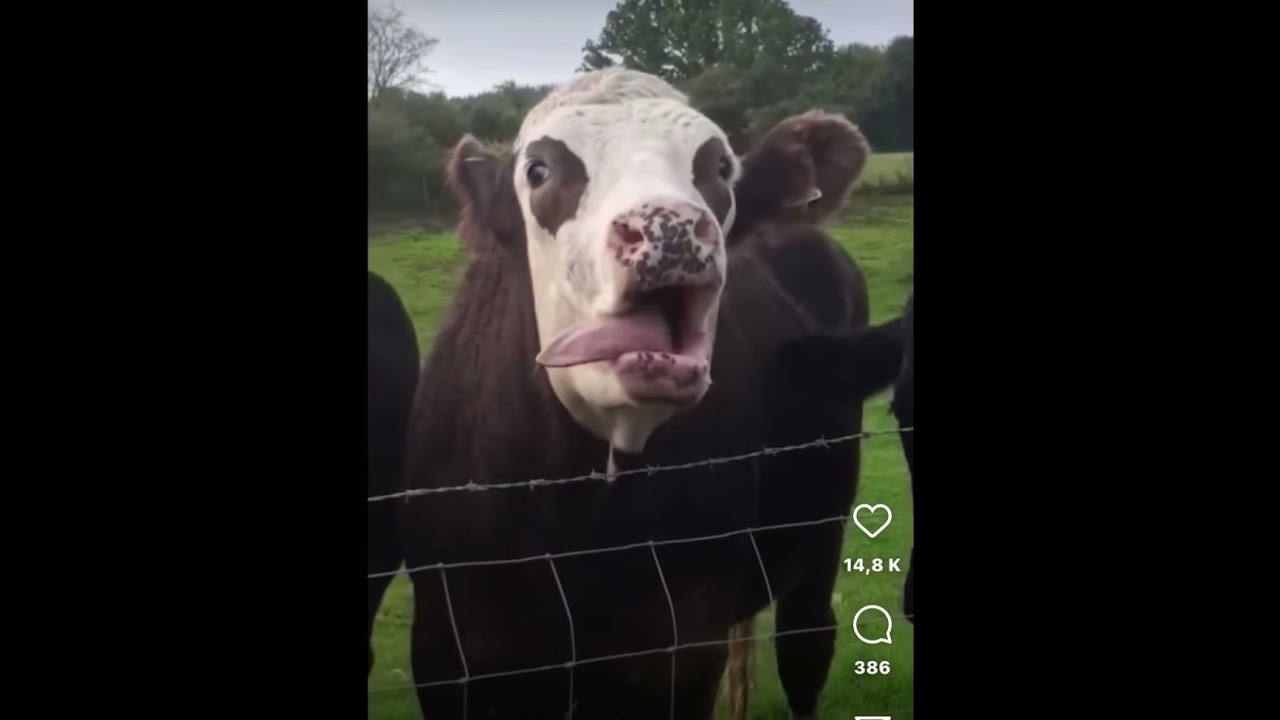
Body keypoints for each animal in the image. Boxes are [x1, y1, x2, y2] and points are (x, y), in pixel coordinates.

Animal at [396, 68, 901, 720]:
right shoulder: (454, 652)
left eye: (720, 167)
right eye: (538, 170)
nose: (672, 228)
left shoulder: (679, 646)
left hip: (822, 536)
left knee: (806, 645)